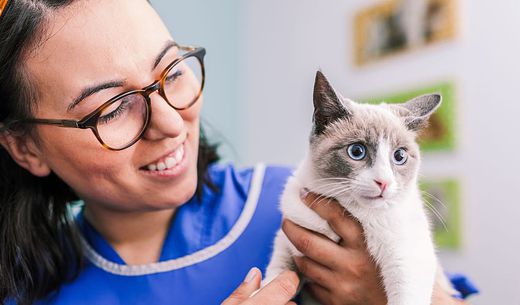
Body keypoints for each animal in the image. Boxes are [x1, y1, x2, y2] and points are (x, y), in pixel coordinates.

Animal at [264, 70, 456, 302]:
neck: (357, 212)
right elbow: (276, 274)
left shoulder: (408, 257)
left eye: (399, 156)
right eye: (357, 151)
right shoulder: (288, 240)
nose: (383, 182)